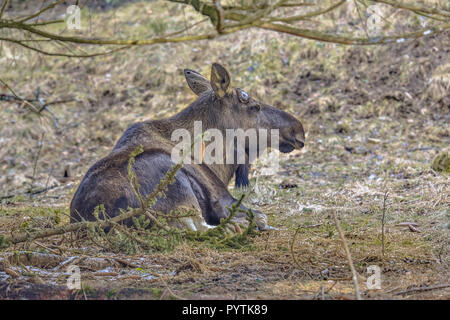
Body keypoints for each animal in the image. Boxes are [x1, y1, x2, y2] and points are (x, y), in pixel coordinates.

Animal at [70, 63, 304, 231]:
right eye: (254, 106)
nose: (298, 129)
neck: (219, 161)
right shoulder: (223, 199)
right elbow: (260, 215)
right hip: (178, 191)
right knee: (200, 228)